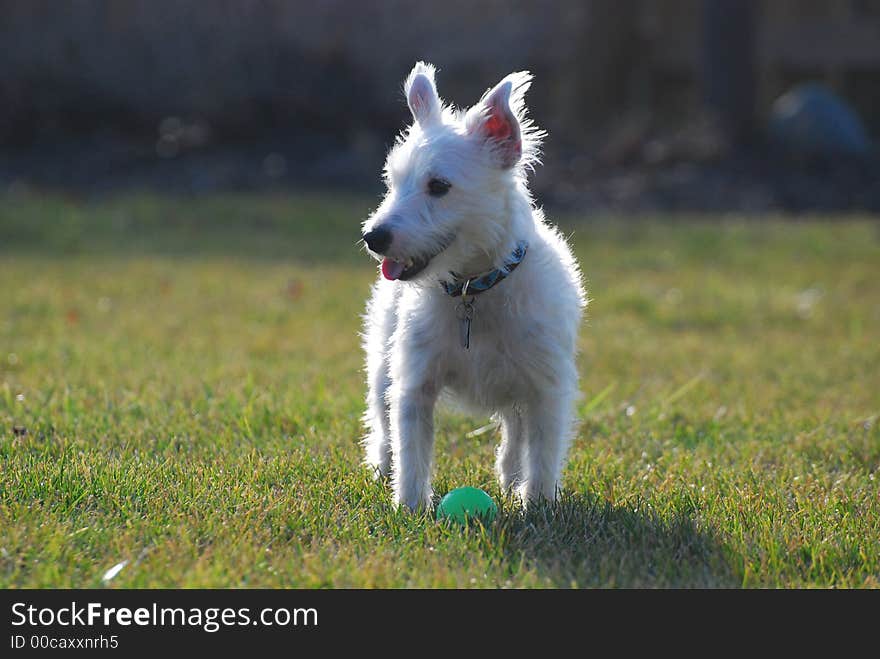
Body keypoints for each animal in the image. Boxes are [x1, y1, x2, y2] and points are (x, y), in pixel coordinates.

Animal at [360, 62, 588, 512]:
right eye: (392, 181)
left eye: (439, 186)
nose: (373, 237)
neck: (473, 291)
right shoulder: (414, 384)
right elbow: (411, 450)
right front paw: (409, 508)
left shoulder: (546, 388)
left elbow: (542, 451)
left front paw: (538, 504)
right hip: (381, 363)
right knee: (381, 420)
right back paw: (380, 467)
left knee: (516, 432)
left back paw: (511, 478)